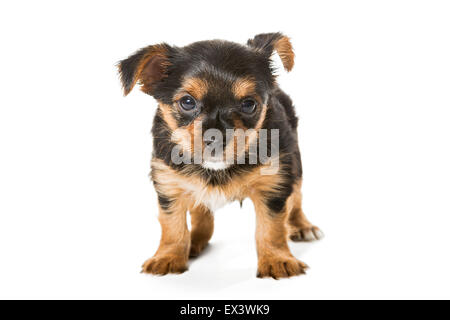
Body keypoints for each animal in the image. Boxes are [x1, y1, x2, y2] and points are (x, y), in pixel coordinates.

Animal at [118, 31, 324, 278]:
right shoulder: (169, 183)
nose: (216, 138)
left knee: (296, 196)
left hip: (294, 162)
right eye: (187, 102)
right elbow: (172, 226)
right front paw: (168, 257)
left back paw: (302, 226)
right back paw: (195, 241)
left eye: (249, 104)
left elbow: (271, 228)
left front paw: (277, 260)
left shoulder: (273, 183)